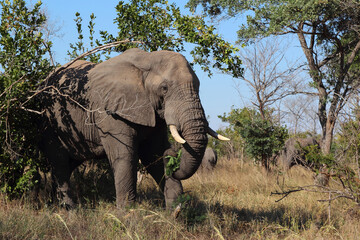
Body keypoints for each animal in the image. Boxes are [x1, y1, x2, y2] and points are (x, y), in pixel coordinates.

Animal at [39, 48, 228, 208]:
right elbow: (125, 157)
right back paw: (68, 210)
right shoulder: (109, 112)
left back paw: (54, 203)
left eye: (198, 86)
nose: (173, 158)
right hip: (50, 122)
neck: (147, 60)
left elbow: (154, 154)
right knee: (60, 162)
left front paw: (176, 212)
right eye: (164, 88)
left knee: (68, 164)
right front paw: (127, 217)